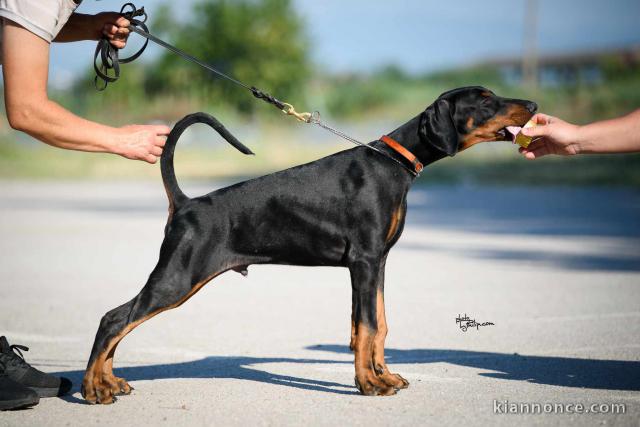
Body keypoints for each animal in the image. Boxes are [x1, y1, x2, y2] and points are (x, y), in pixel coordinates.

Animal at [82, 85, 536, 402]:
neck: (396, 163)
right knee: (113, 319)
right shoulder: (364, 260)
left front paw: (383, 375)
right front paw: (369, 385)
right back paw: (93, 389)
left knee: (118, 321)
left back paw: (111, 383)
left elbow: (376, 324)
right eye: (485, 100)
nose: (532, 105)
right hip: (178, 276)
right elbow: (368, 326)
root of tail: (186, 203)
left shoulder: (377, 262)